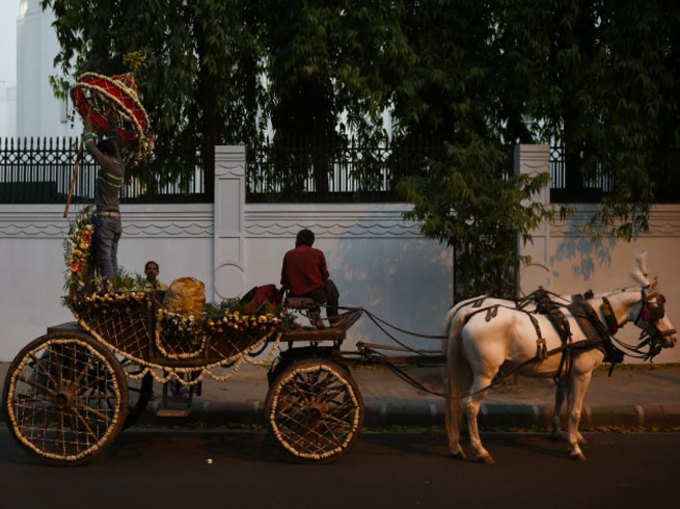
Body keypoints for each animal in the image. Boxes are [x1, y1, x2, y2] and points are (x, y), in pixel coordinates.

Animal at [446, 252, 676, 462]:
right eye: (658, 311)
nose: (672, 338)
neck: (594, 318)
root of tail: (468, 313)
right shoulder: (582, 373)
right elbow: (575, 410)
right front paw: (574, 447)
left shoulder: (566, 371)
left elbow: (562, 401)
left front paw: (562, 433)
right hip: (485, 373)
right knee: (471, 406)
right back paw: (480, 450)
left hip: (466, 369)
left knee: (458, 402)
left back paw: (458, 443)